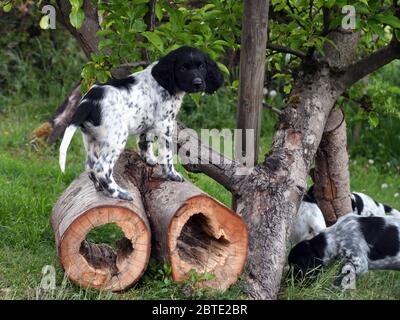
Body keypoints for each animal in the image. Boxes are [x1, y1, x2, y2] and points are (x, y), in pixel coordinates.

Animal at [59, 46, 223, 200]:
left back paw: (99, 187)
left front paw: (149, 159)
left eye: (202, 67)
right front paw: (172, 175)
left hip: (91, 138)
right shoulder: (165, 125)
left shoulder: (148, 122)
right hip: (116, 138)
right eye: (183, 68)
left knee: (90, 166)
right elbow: (167, 154)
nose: (198, 83)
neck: (163, 83)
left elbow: (145, 141)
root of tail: (89, 101)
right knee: (101, 168)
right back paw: (118, 193)